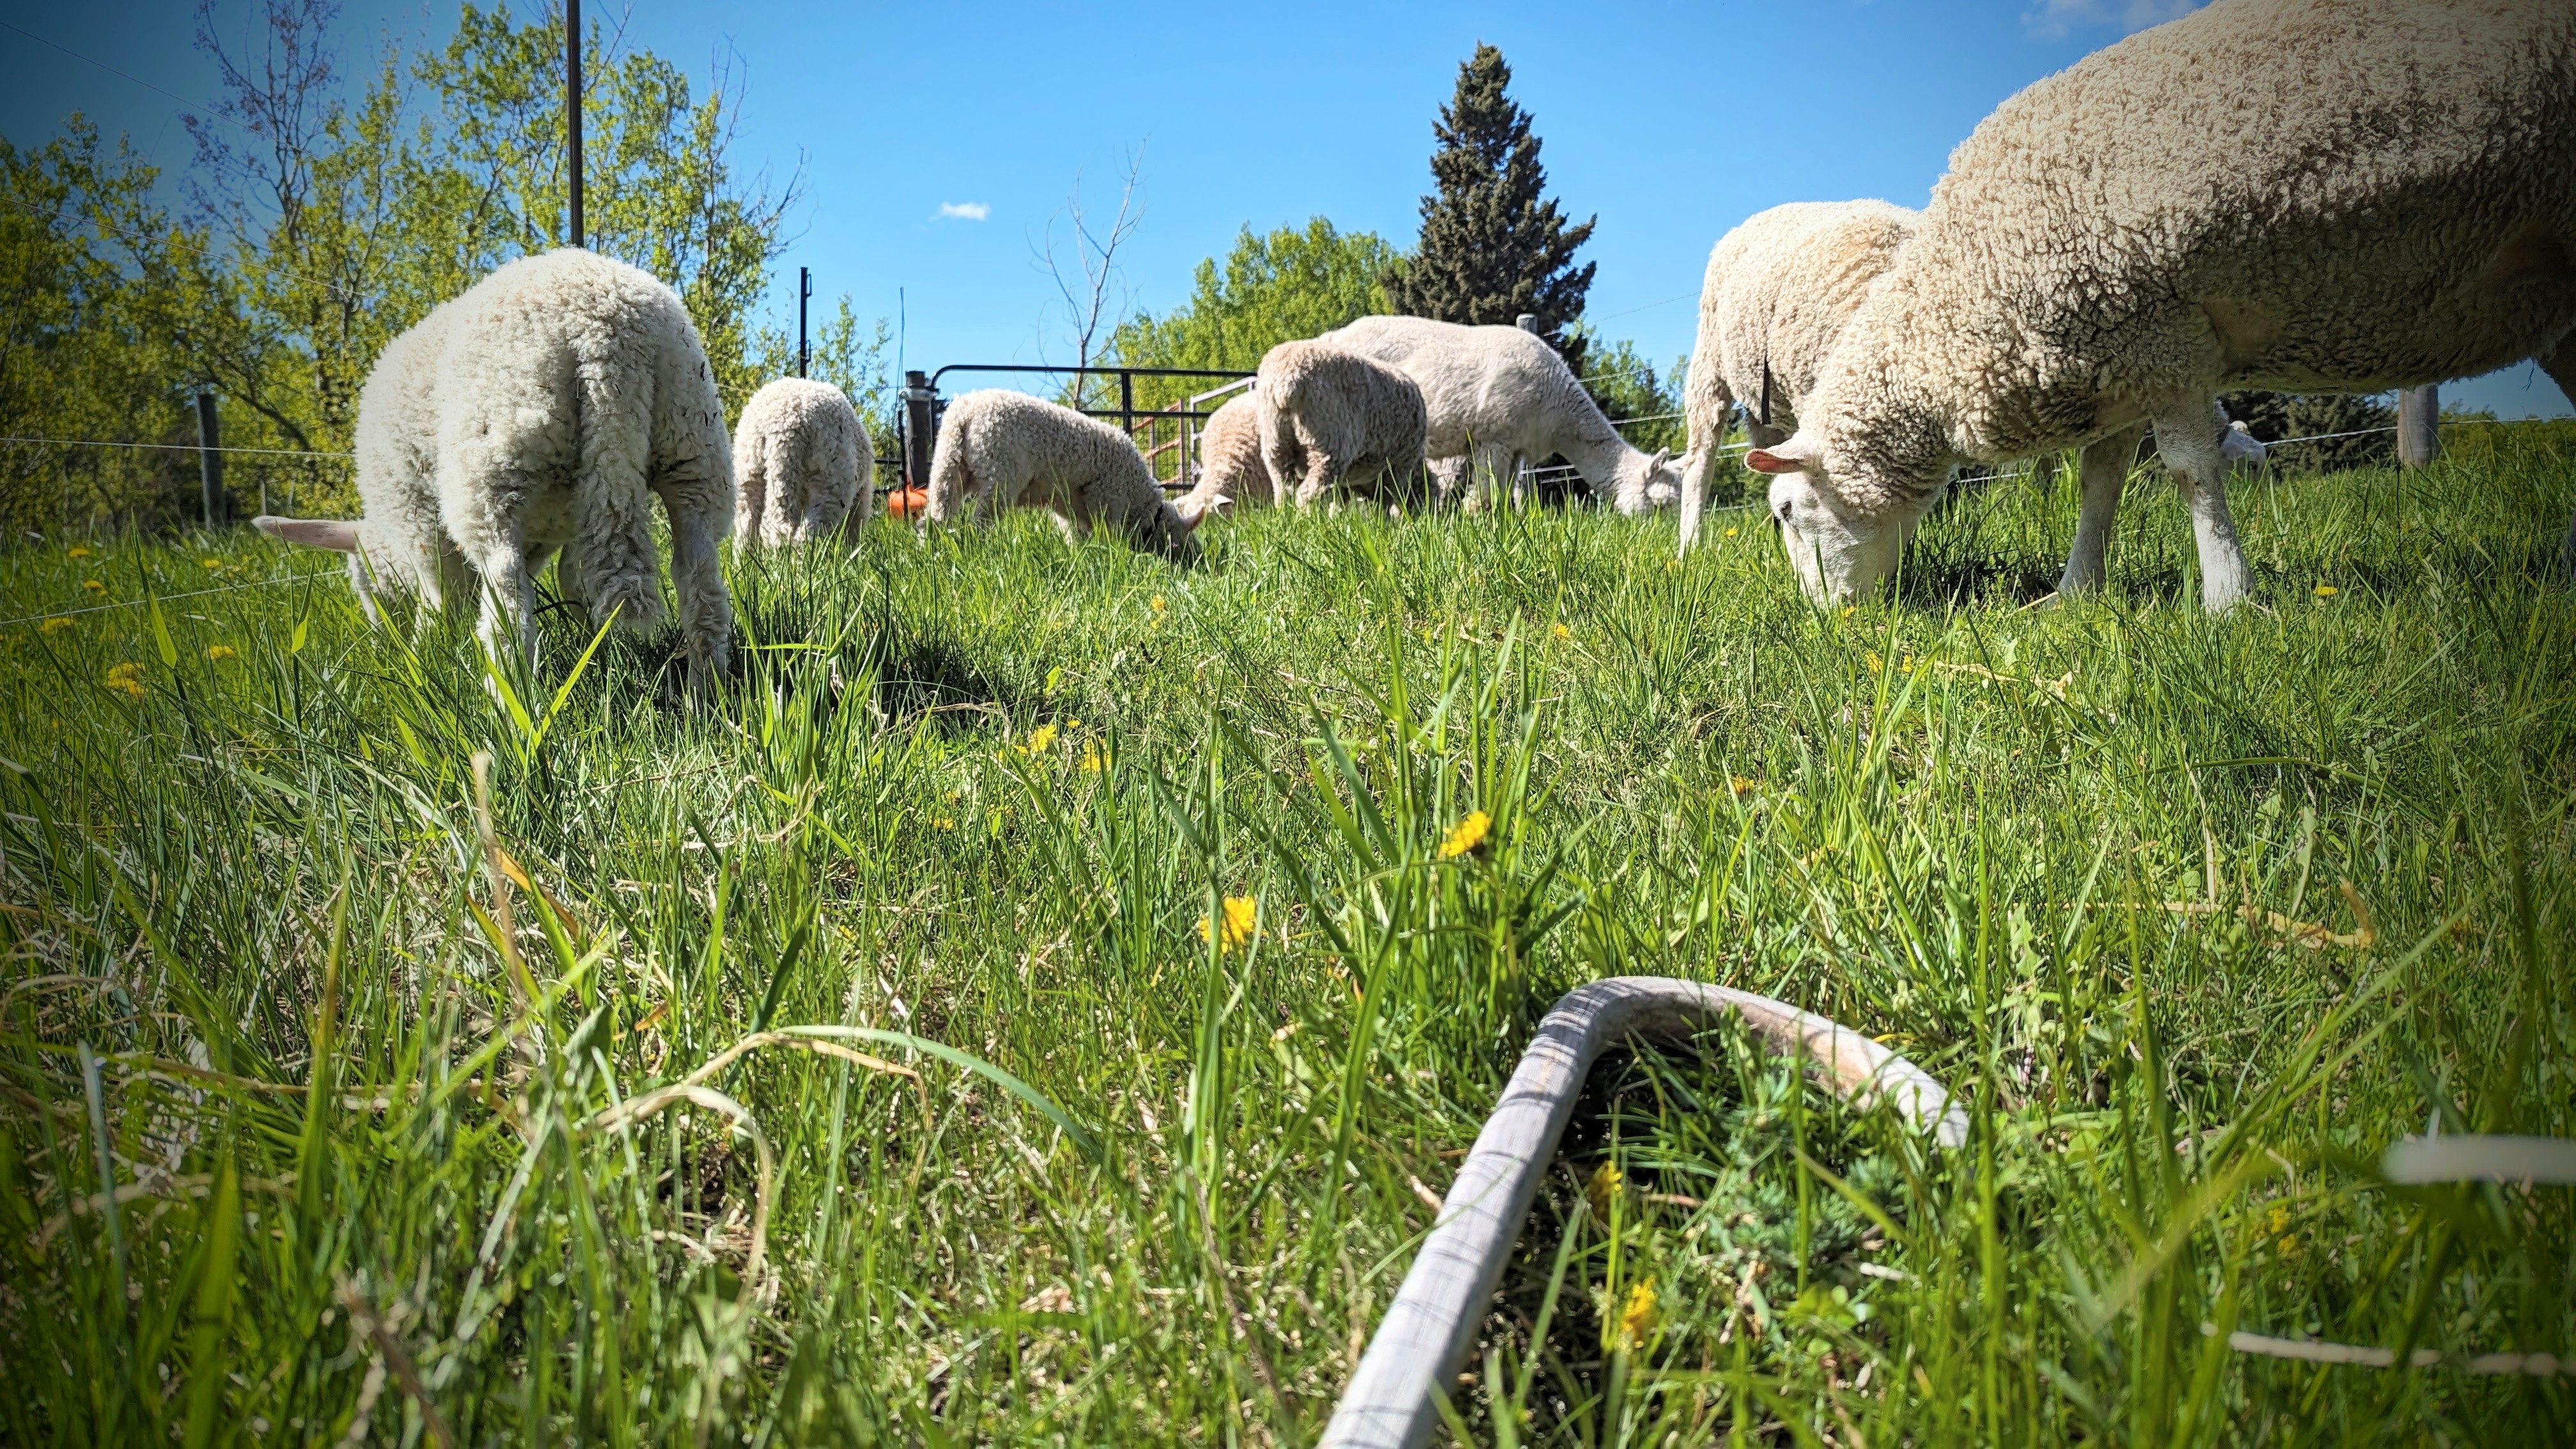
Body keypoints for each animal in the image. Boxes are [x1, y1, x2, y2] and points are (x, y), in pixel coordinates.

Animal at [256, 246, 735, 688]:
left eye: (364, 587)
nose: (380, 642)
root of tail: (605, 328)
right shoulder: (572, 518)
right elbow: (573, 581)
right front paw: (594, 647)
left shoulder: (416, 517)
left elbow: (441, 597)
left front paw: (424, 655)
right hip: (691, 444)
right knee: (700, 579)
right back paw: (706, 692)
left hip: (493, 462)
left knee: (506, 597)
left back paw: (508, 701)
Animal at [923, 389, 1199, 562]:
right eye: (1180, 539)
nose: (1196, 564)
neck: (1138, 500)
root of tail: (965, 412)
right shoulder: (1108, 498)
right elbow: (1107, 537)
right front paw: (1111, 558)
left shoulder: (1069, 511)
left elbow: (1074, 538)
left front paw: (1079, 556)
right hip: (1000, 475)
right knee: (978, 525)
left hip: (948, 464)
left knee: (934, 518)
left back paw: (933, 552)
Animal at [1253, 340, 1431, 509]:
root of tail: (1288, 380)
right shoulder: (1397, 467)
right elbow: (1385, 500)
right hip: (1328, 441)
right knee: (1310, 493)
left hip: (1276, 442)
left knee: (1284, 489)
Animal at [1319, 315, 1679, 511]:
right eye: (1661, 504)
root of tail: (1331, 336)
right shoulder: (1493, 436)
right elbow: (1485, 501)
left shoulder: (1516, 445)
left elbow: (1505, 499)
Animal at [1743, 0, 2576, 612]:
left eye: (1784, 512)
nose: (1826, 620)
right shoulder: (2114, 362)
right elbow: (2100, 482)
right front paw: (2074, 594)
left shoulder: (2166, 339)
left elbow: (2188, 471)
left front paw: (2227, 601)